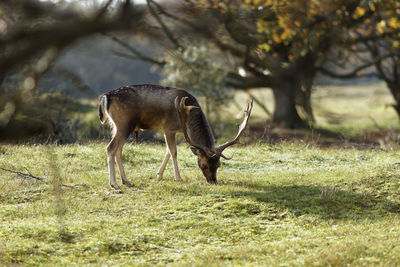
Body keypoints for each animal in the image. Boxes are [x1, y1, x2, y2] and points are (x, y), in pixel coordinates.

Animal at [98, 84, 252, 191]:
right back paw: (114, 184)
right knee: (110, 148)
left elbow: (167, 151)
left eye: (218, 164)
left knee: (118, 150)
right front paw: (178, 178)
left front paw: (159, 175)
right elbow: (173, 152)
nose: (213, 181)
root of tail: (106, 97)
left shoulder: (177, 131)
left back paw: (126, 181)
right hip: (124, 123)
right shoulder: (168, 128)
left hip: (117, 126)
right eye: (203, 165)